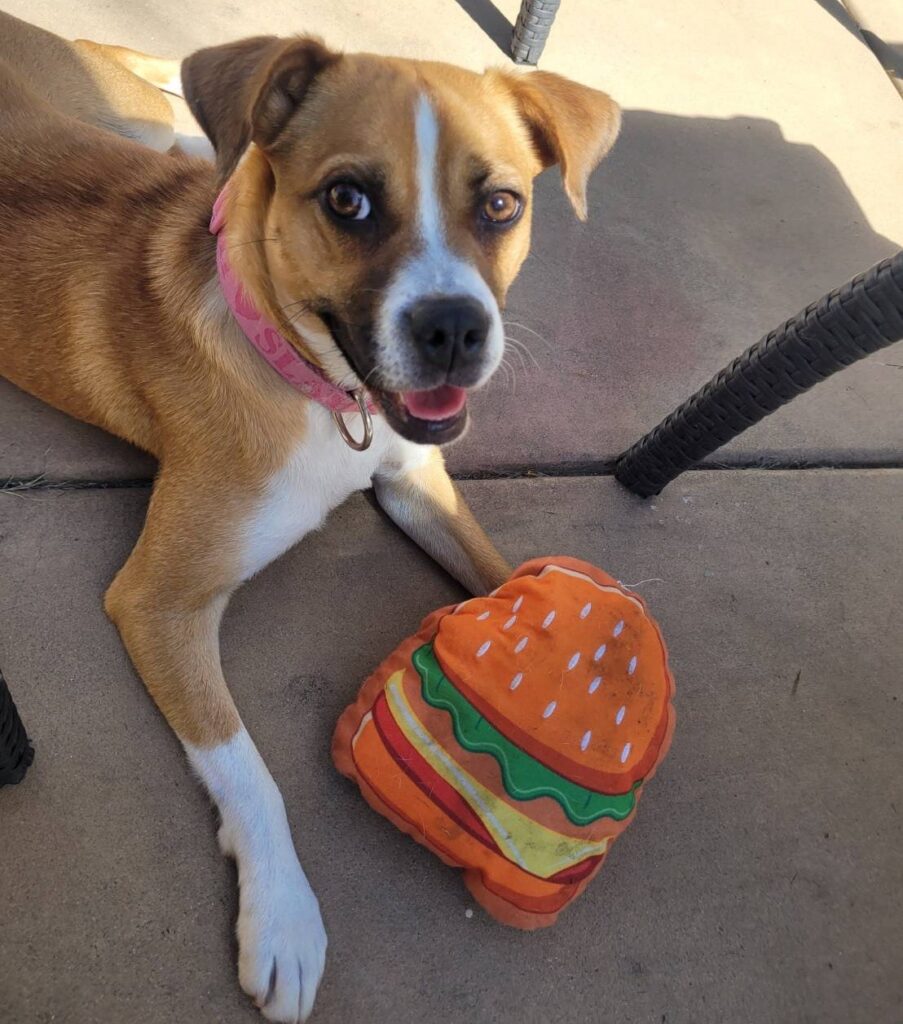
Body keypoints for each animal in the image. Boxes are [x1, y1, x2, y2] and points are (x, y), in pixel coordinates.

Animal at [0, 13, 621, 1021]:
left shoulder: (415, 481)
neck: (321, 393)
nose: (455, 329)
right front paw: (284, 916)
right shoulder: (156, 601)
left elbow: (501, 571)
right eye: (346, 200)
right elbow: (247, 769)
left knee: (195, 136)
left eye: (500, 205)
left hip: (128, 112)